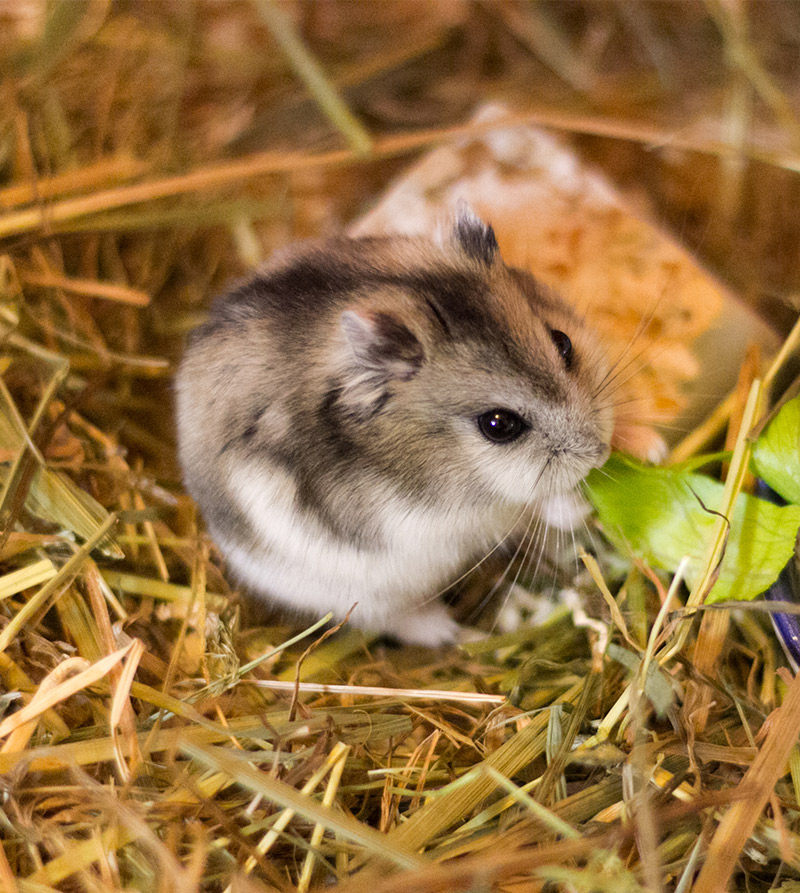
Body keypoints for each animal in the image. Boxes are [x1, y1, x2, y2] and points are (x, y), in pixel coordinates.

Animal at [177, 213, 612, 644]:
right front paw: (581, 511)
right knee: (401, 622)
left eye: (562, 343)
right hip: (359, 596)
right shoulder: (445, 521)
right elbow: (517, 507)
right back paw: (462, 635)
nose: (601, 454)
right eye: (498, 425)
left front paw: (583, 507)